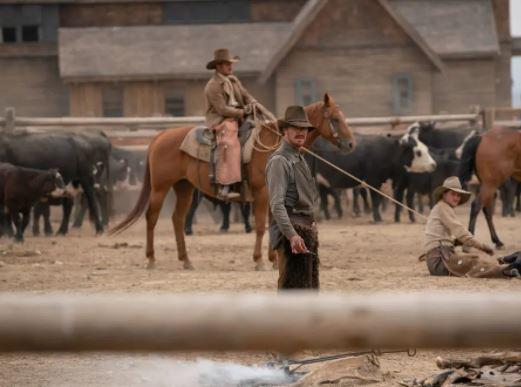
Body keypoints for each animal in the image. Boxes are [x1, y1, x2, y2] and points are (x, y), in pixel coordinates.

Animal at [108, 94, 354, 270]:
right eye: (335, 118)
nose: (351, 144)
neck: (273, 144)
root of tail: (160, 136)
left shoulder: (275, 195)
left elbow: (275, 223)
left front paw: (273, 259)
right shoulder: (263, 193)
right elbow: (261, 226)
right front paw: (259, 260)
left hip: (184, 187)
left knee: (178, 219)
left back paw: (186, 260)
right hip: (160, 187)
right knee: (151, 217)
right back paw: (151, 259)